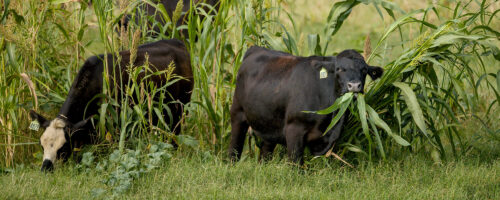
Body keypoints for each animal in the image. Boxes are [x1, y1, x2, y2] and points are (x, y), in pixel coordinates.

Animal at [229, 47, 384, 164]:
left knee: (265, 152)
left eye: (364, 70)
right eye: (339, 69)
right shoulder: (294, 129)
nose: (354, 85)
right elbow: (296, 163)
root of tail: (256, 48)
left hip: (268, 123)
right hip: (237, 113)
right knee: (235, 147)